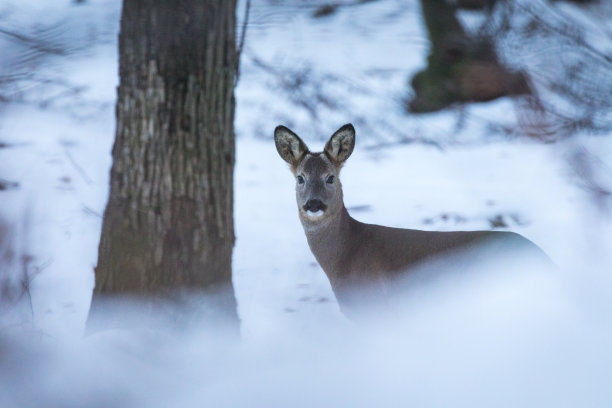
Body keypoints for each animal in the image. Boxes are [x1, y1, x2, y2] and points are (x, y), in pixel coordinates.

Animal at [274, 124, 548, 318]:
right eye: (300, 178)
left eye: (330, 177)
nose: (314, 204)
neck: (346, 254)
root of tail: (548, 263)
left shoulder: (376, 309)